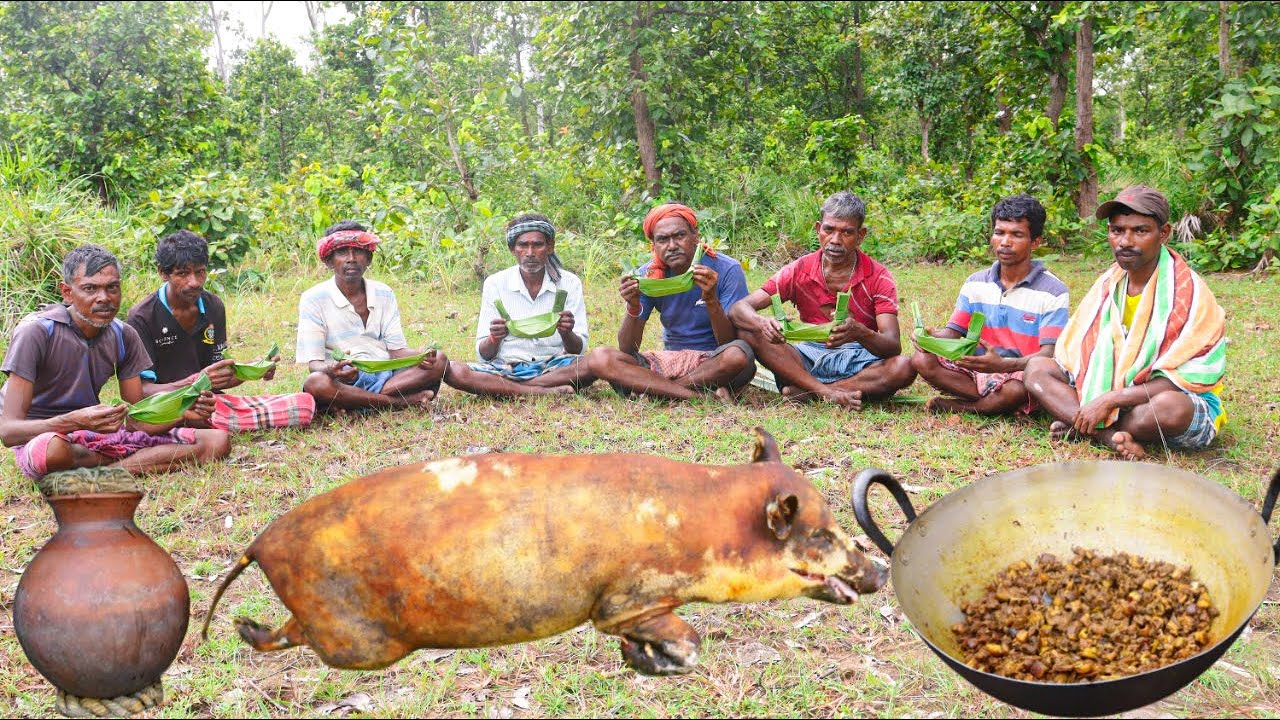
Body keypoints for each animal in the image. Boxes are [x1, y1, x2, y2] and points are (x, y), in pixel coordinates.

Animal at [201, 427, 886, 675]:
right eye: (821, 534)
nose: (879, 569)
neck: (703, 526)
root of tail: (258, 542)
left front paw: (637, 658)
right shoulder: (626, 597)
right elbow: (687, 641)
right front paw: (650, 656)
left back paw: (242, 627)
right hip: (355, 641)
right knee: (295, 638)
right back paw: (242, 628)